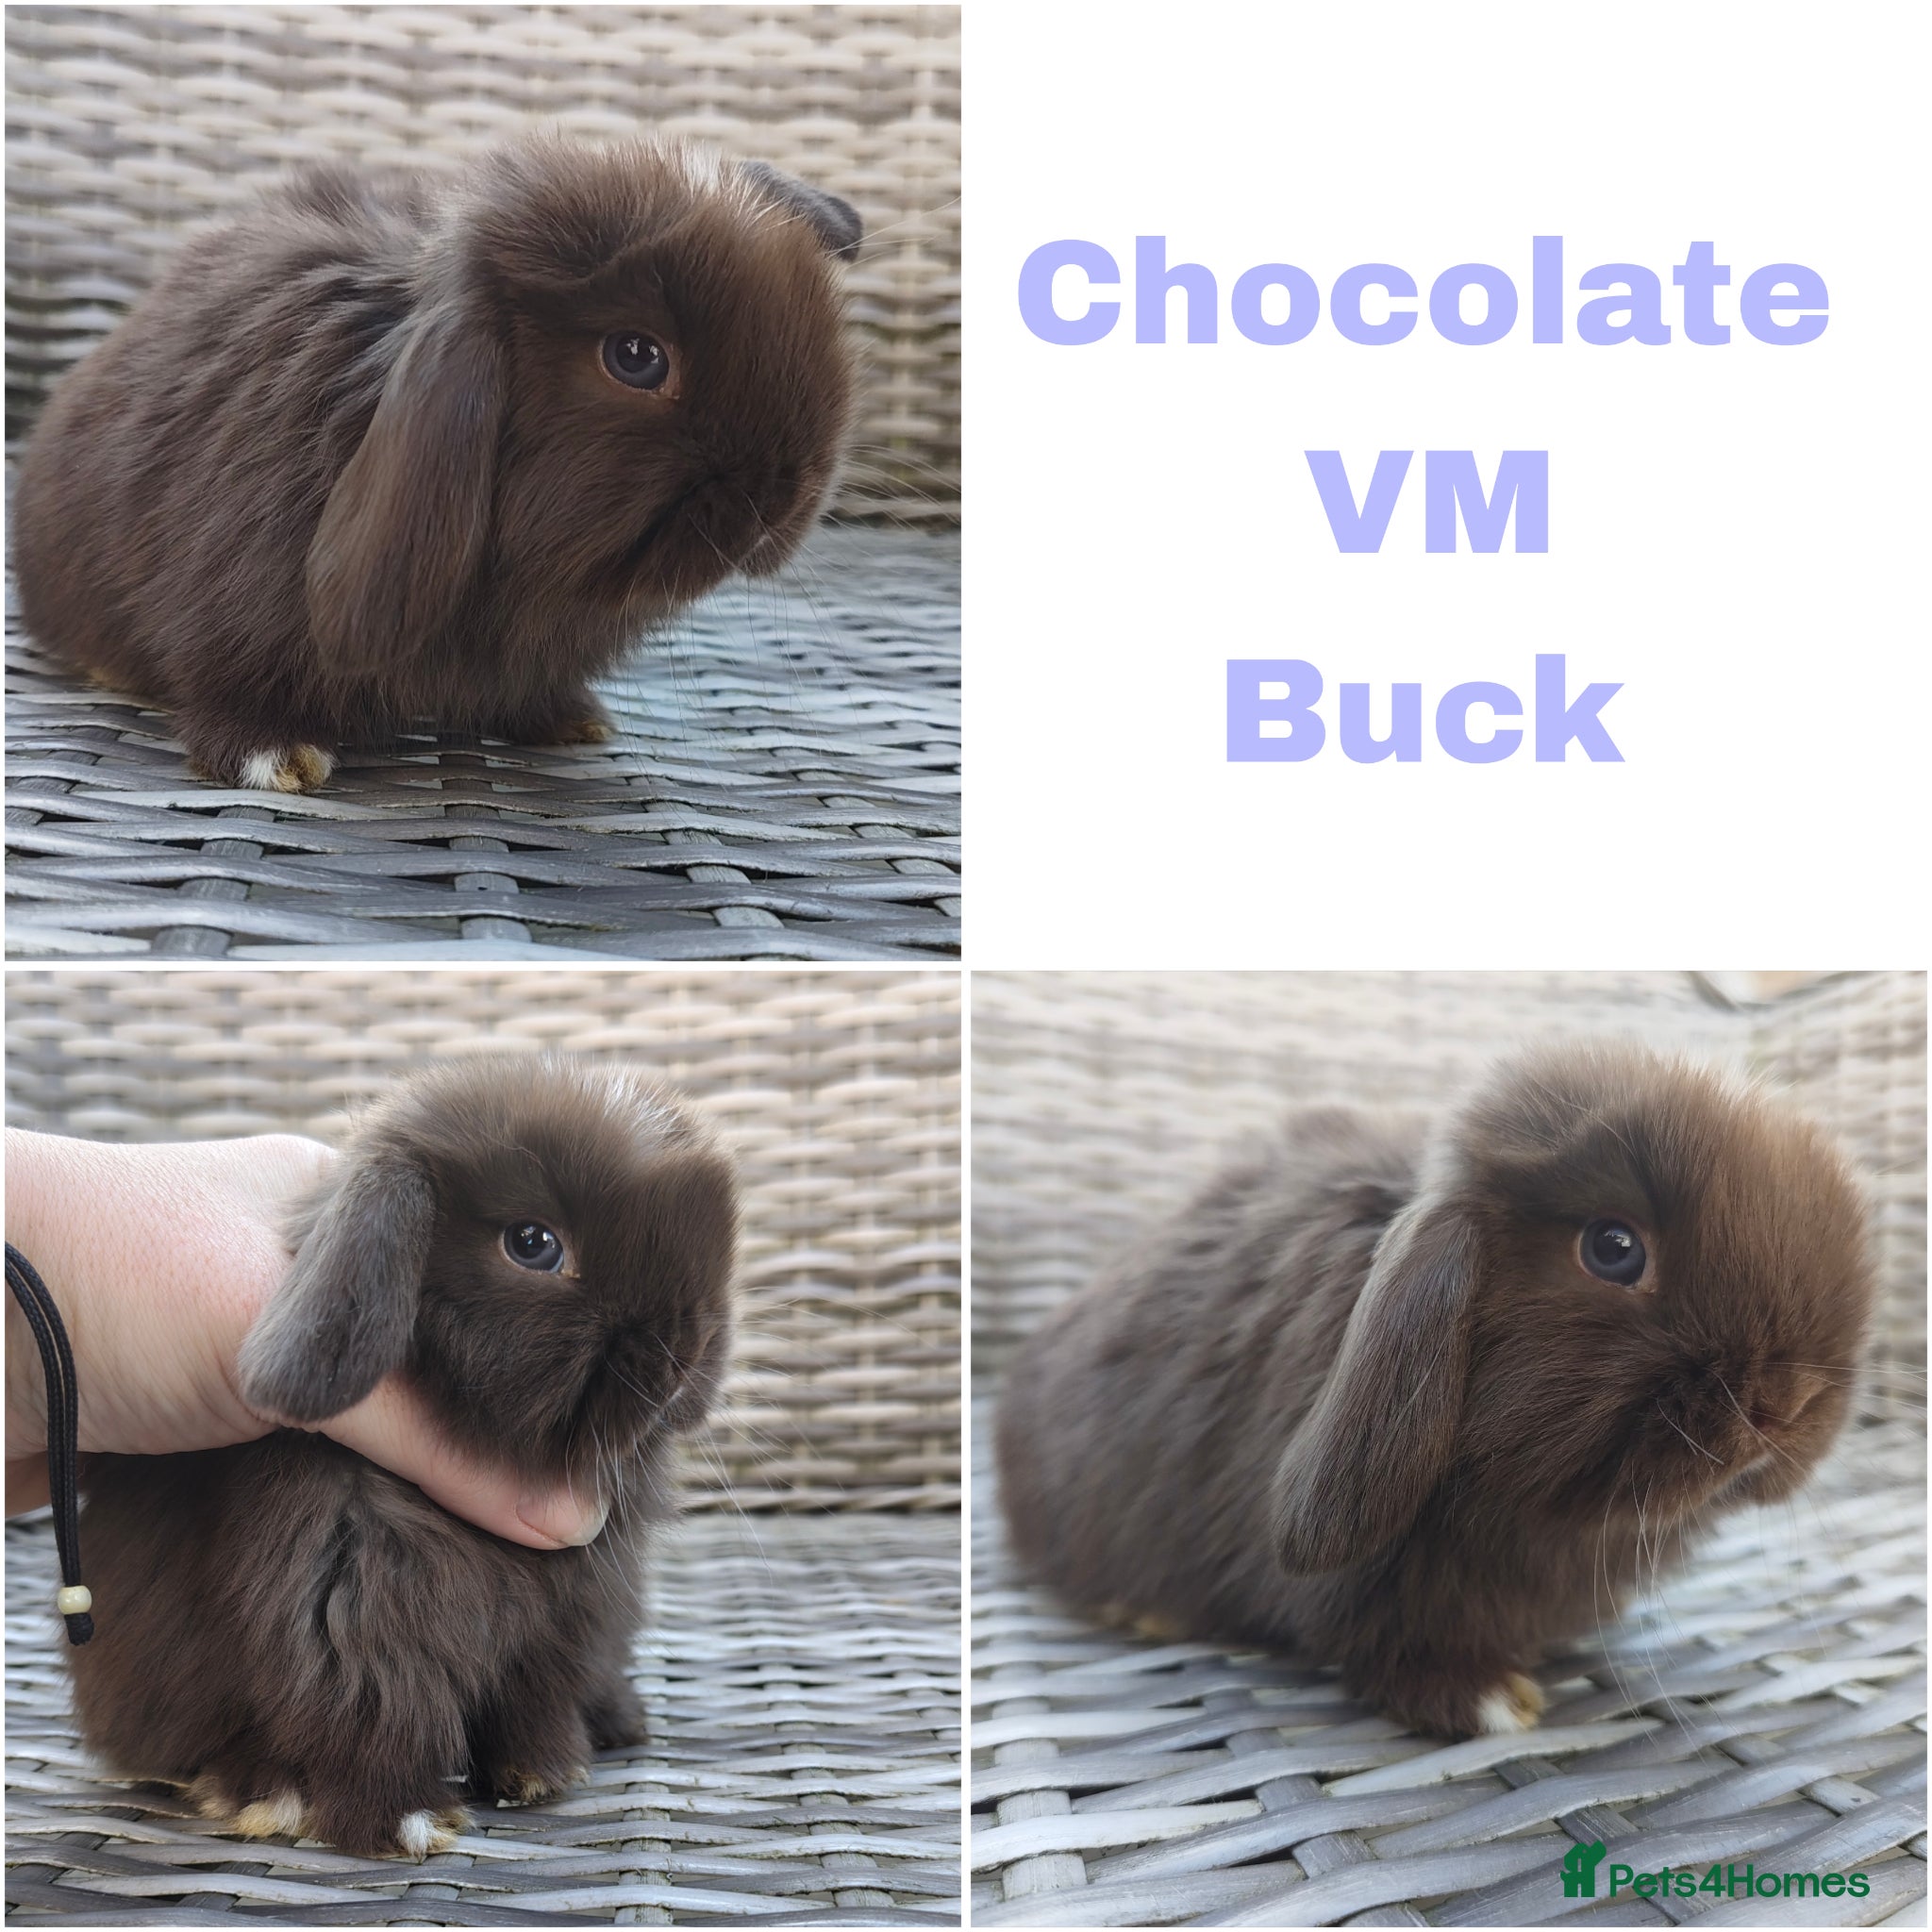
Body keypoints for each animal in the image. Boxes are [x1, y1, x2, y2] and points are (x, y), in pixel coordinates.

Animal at [68, 1056, 738, 1857]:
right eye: (533, 1243)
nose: (686, 1359)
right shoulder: (345, 1603)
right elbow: (373, 1706)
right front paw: (397, 1818)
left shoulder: (572, 1618)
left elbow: (538, 1696)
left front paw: (541, 1774)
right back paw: (258, 1790)